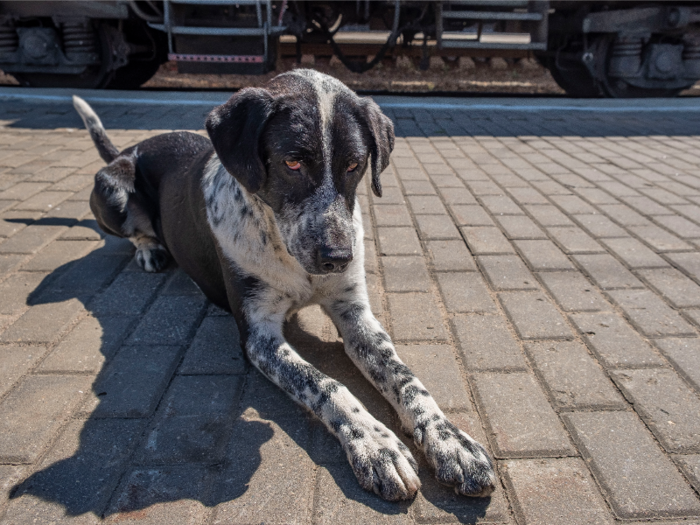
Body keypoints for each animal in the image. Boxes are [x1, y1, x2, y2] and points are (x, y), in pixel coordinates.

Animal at [74, 69, 494, 500]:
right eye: (292, 162)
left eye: (355, 165)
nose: (338, 256)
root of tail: (131, 147)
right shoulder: (258, 336)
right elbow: (323, 383)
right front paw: (375, 443)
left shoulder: (354, 312)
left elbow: (405, 378)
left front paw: (450, 440)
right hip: (114, 192)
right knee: (133, 230)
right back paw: (149, 249)